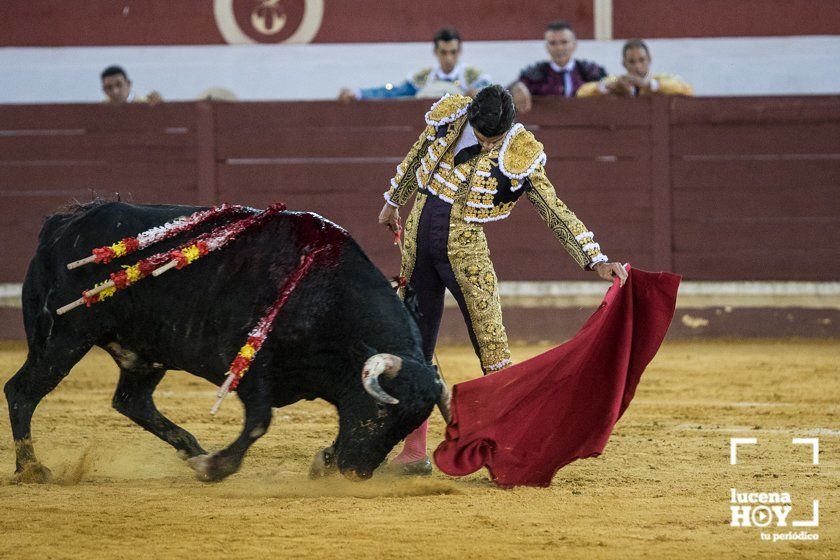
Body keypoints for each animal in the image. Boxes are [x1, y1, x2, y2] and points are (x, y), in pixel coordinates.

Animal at [3, 201, 450, 482]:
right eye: (381, 412)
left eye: (410, 422)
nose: (355, 474)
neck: (323, 292)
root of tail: (62, 226)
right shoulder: (249, 368)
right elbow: (260, 421)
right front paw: (216, 468)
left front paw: (321, 461)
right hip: (63, 338)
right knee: (22, 391)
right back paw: (32, 470)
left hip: (145, 352)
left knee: (131, 401)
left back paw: (190, 449)